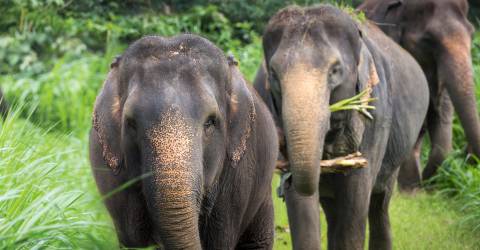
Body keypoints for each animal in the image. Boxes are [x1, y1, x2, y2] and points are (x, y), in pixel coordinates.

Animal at [253, 4, 430, 250]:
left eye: (335, 70)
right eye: (273, 74)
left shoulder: (375, 115)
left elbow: (355, 202)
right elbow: (302, 205)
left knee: (379, 204)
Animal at [360, 0, 480, 190]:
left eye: (471, 33)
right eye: (428, 40)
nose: (467, 152)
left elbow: (440, 117)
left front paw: (414, 189)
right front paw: (409, 188)